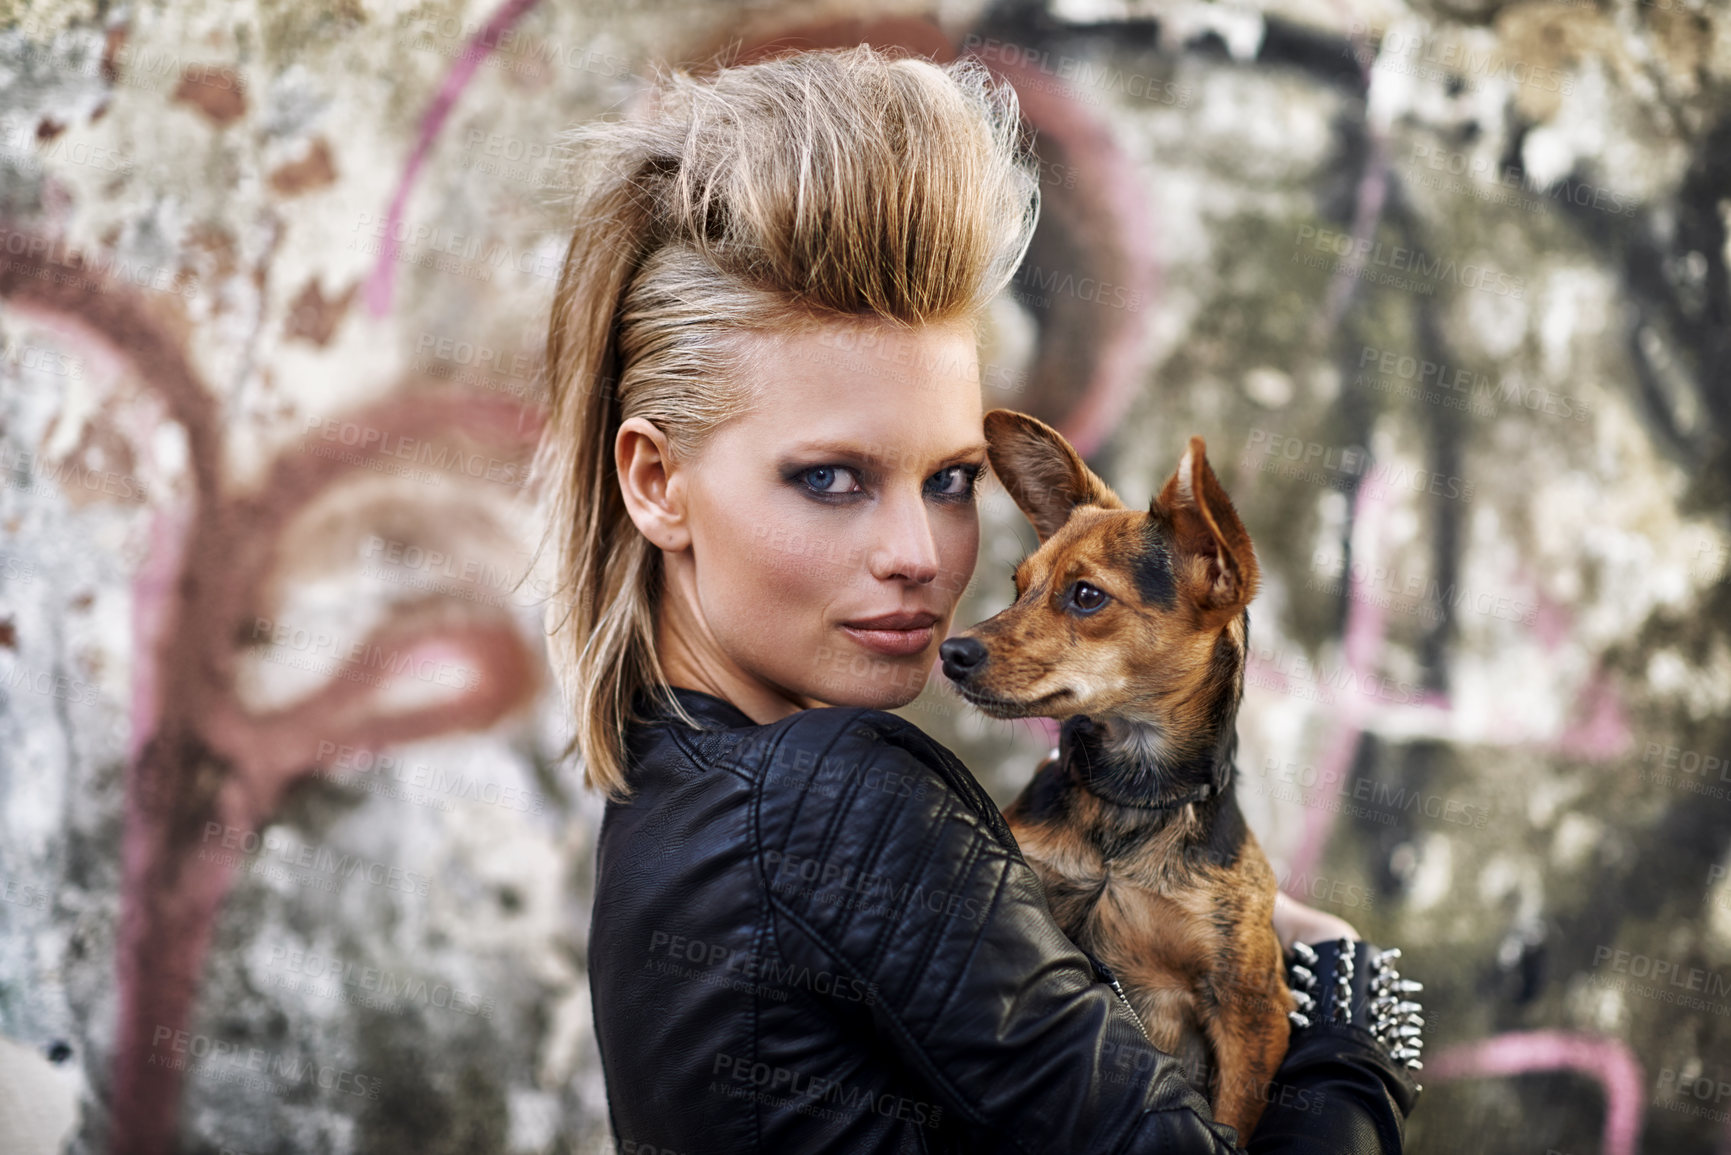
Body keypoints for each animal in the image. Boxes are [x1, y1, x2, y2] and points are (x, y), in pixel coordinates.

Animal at [948, 408, 1301, 1135]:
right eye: (1018, 587)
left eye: (1086, 596)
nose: (951, 652)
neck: (1127, 799)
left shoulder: (1251, 1014)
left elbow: (1232, 1119)